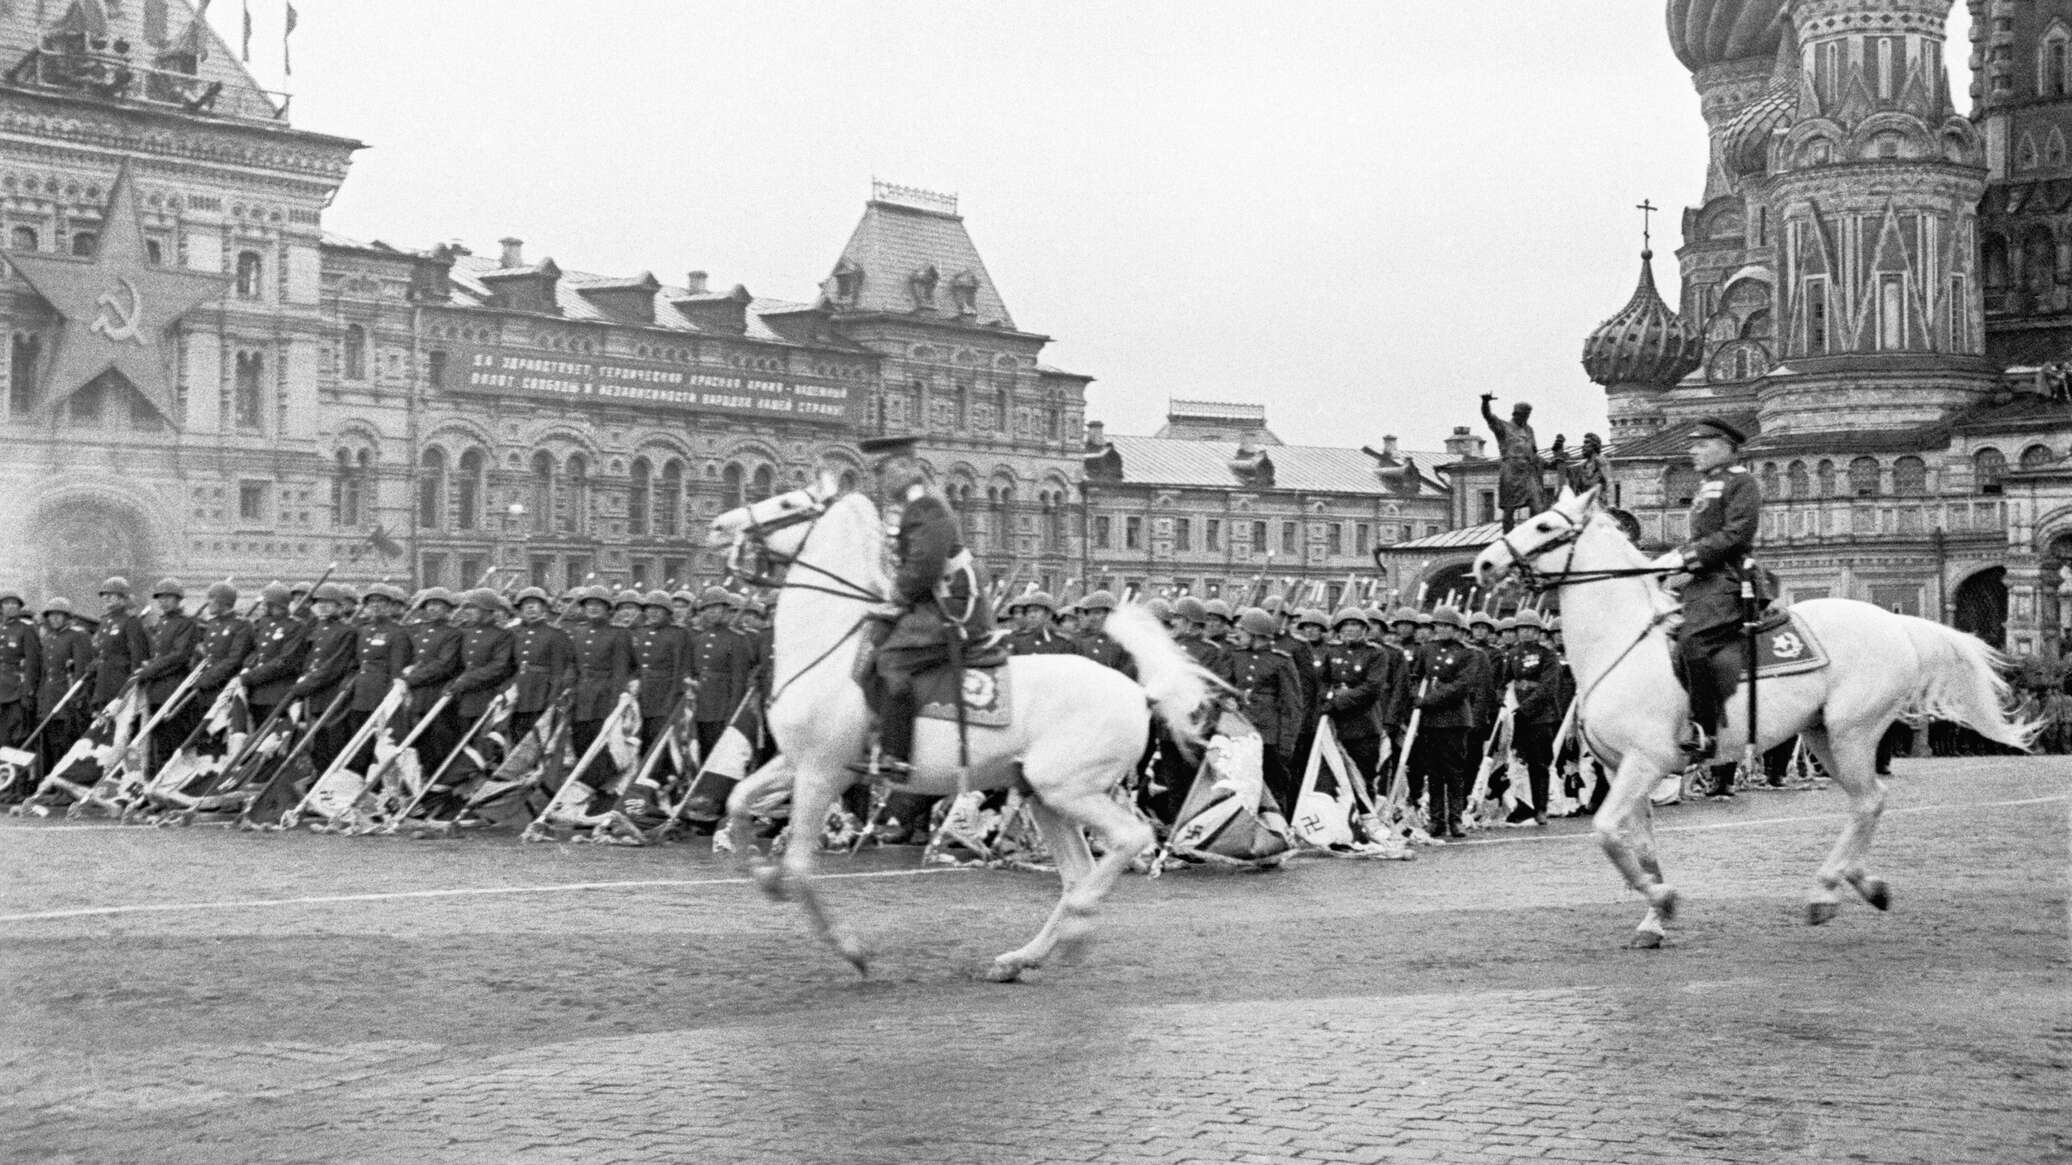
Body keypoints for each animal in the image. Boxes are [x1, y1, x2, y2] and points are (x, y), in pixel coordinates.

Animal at [716, 472, 1226, 978]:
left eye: (787, 503)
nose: (721, 526)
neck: (831, 651)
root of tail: (1140, 692)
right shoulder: (798, 763)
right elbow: (738, 799)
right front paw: (759, 874)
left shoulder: (823, 772)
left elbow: (801, 869)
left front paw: (851, 948)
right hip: (1044, 796)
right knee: (1077, 872)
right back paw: (1023, 956)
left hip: (1067, 788)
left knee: (1129, 840)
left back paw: (1078, 921)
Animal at [1475, 485, 2038, 936]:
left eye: (1545, 525)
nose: (1484, 563)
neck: (1623, 644)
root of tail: (1893, 621)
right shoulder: (1621, 768)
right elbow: (1641, 846)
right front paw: (1654, 919)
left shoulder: (1645, 762)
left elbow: (1608, 833)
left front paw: (1663, 901)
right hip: (1822, 736)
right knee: (1867, 801)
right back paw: (1863, 883)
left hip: (1852, 732)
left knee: (1868, 802)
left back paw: (1826, 891)